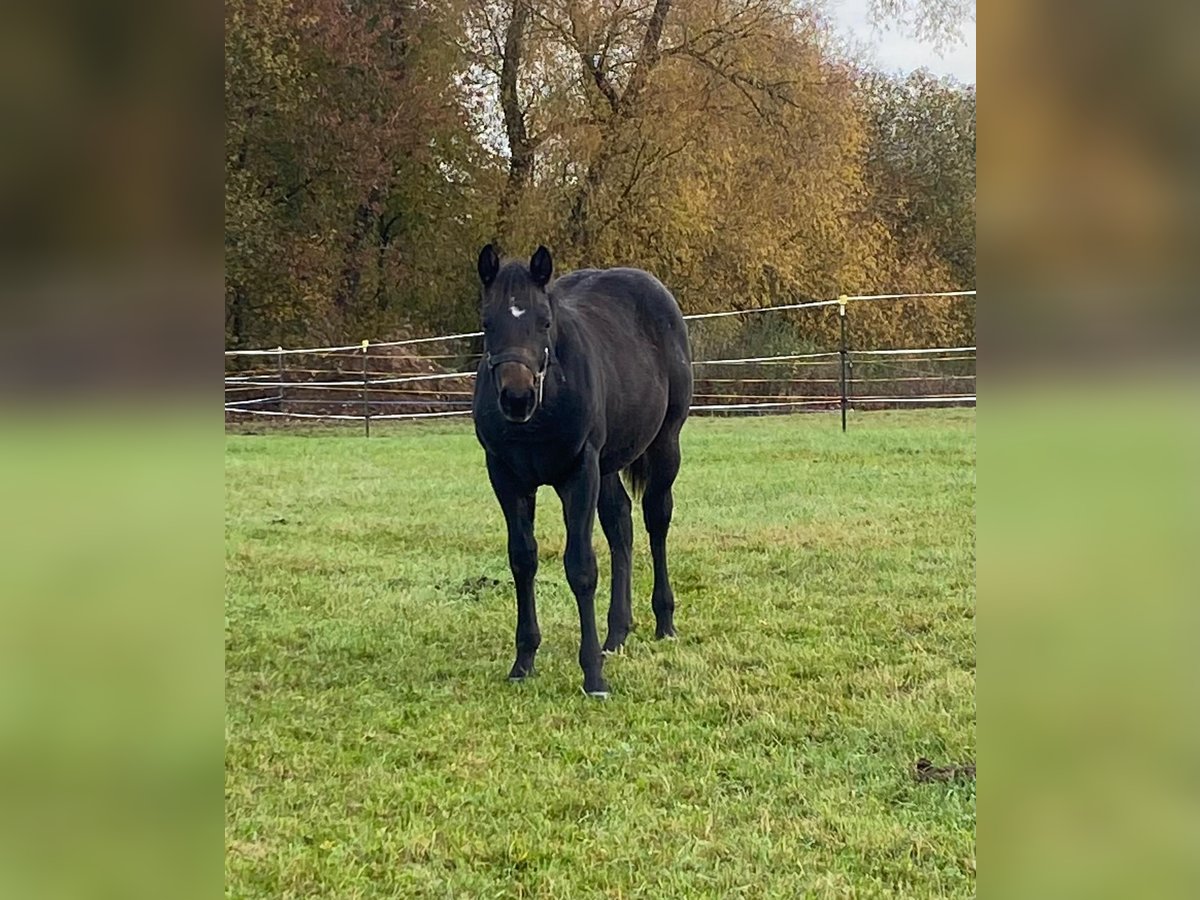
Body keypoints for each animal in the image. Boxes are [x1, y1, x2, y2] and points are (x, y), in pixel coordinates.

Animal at [470, 244, 696, 696]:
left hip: (664, 445)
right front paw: (523, 660)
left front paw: (593, 674)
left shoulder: (578, 472)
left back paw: (664, 622)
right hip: (608, 465)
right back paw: (617, 634)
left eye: (544, 321)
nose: (517, 398)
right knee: (621, 524)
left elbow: (581, 566)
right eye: (488, 323)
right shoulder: (505, 476)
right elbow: (522, 559)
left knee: (656, 519)